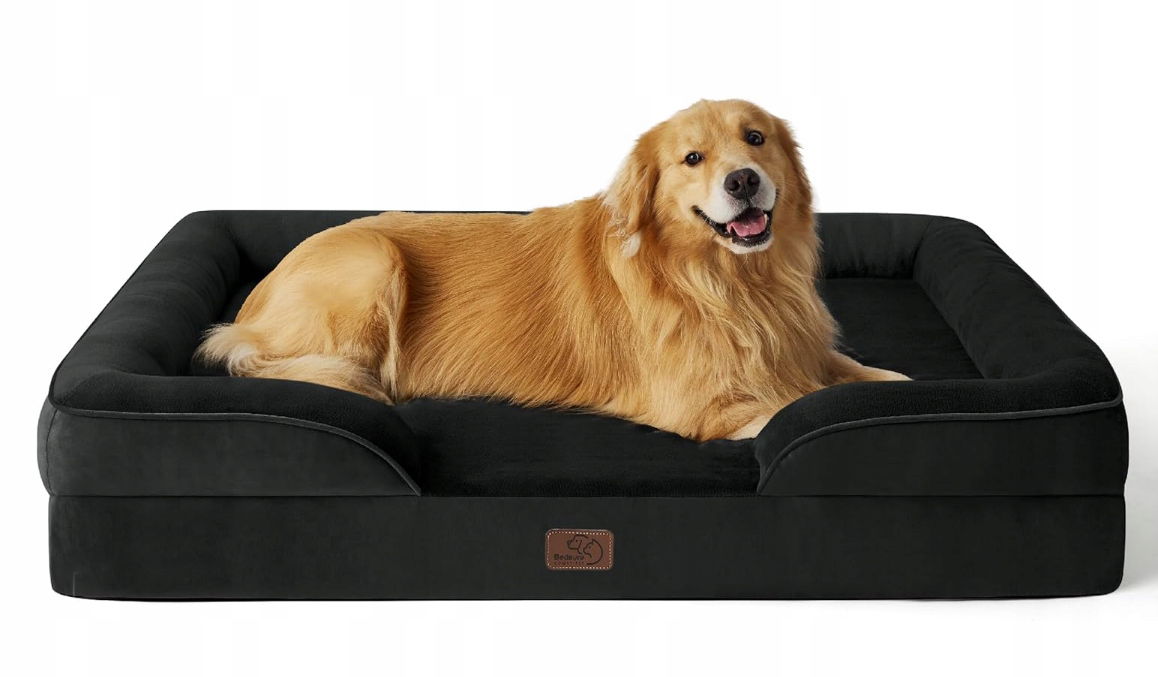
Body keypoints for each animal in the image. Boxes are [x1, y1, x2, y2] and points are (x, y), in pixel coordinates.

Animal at [197, 99, 906, 441]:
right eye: (692, 158)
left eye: (755, 138)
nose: (743, 180)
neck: (727, 283)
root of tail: (251, 306)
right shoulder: (705, 408)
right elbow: (800, 404)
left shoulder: (798, 347)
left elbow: (867, 378)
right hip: (373, 260)